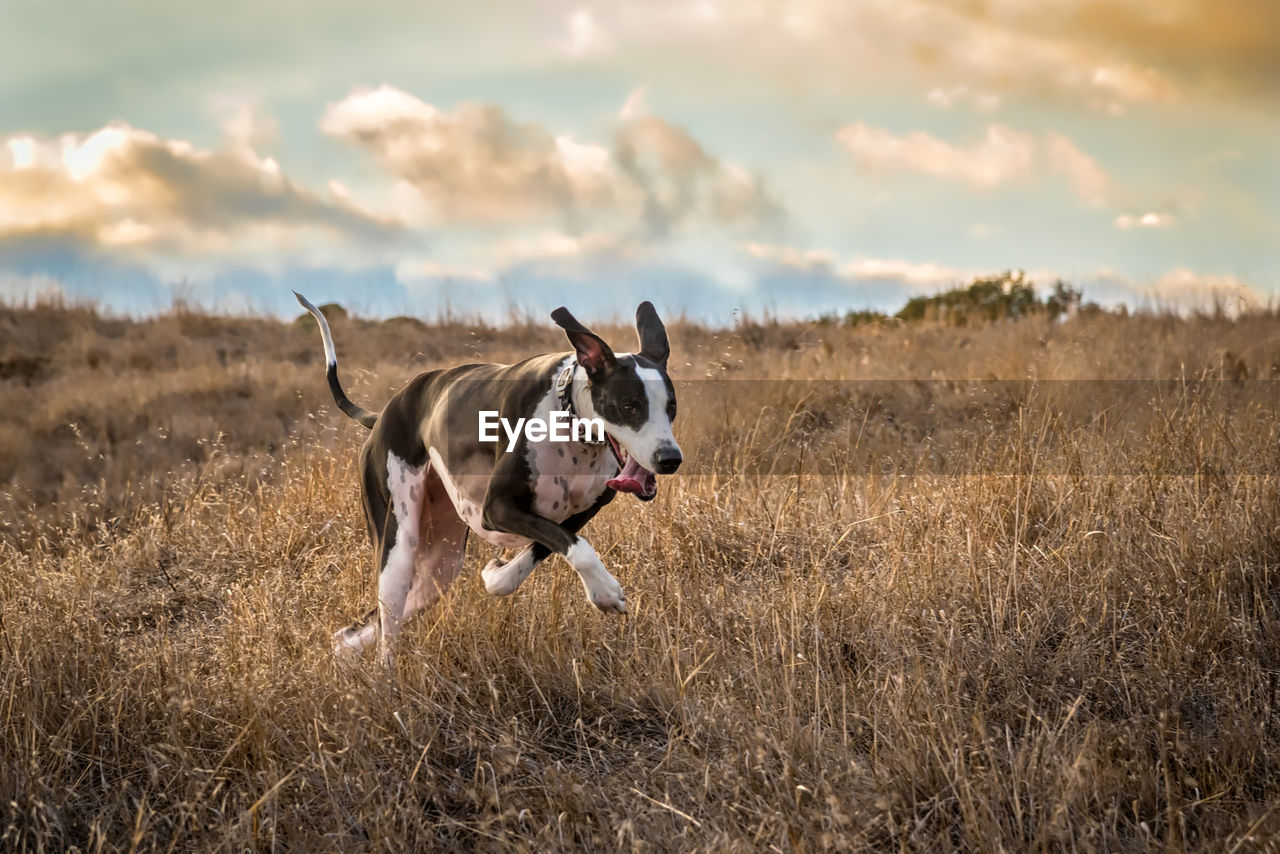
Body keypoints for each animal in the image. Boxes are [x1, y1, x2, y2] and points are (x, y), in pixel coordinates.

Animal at [295, 294, 686, 665]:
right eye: (630, 406)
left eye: (671, 407)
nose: (670, 459)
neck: (568, 414)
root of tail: (380, 416)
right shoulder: (496, 509)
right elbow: (580, 548)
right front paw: (604, 592)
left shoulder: (579, 512)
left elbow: (537, 554)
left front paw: (496, 574)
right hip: (398, 545)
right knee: (387, 624)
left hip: (439, 568)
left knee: (356, 631)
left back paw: (345, 655)